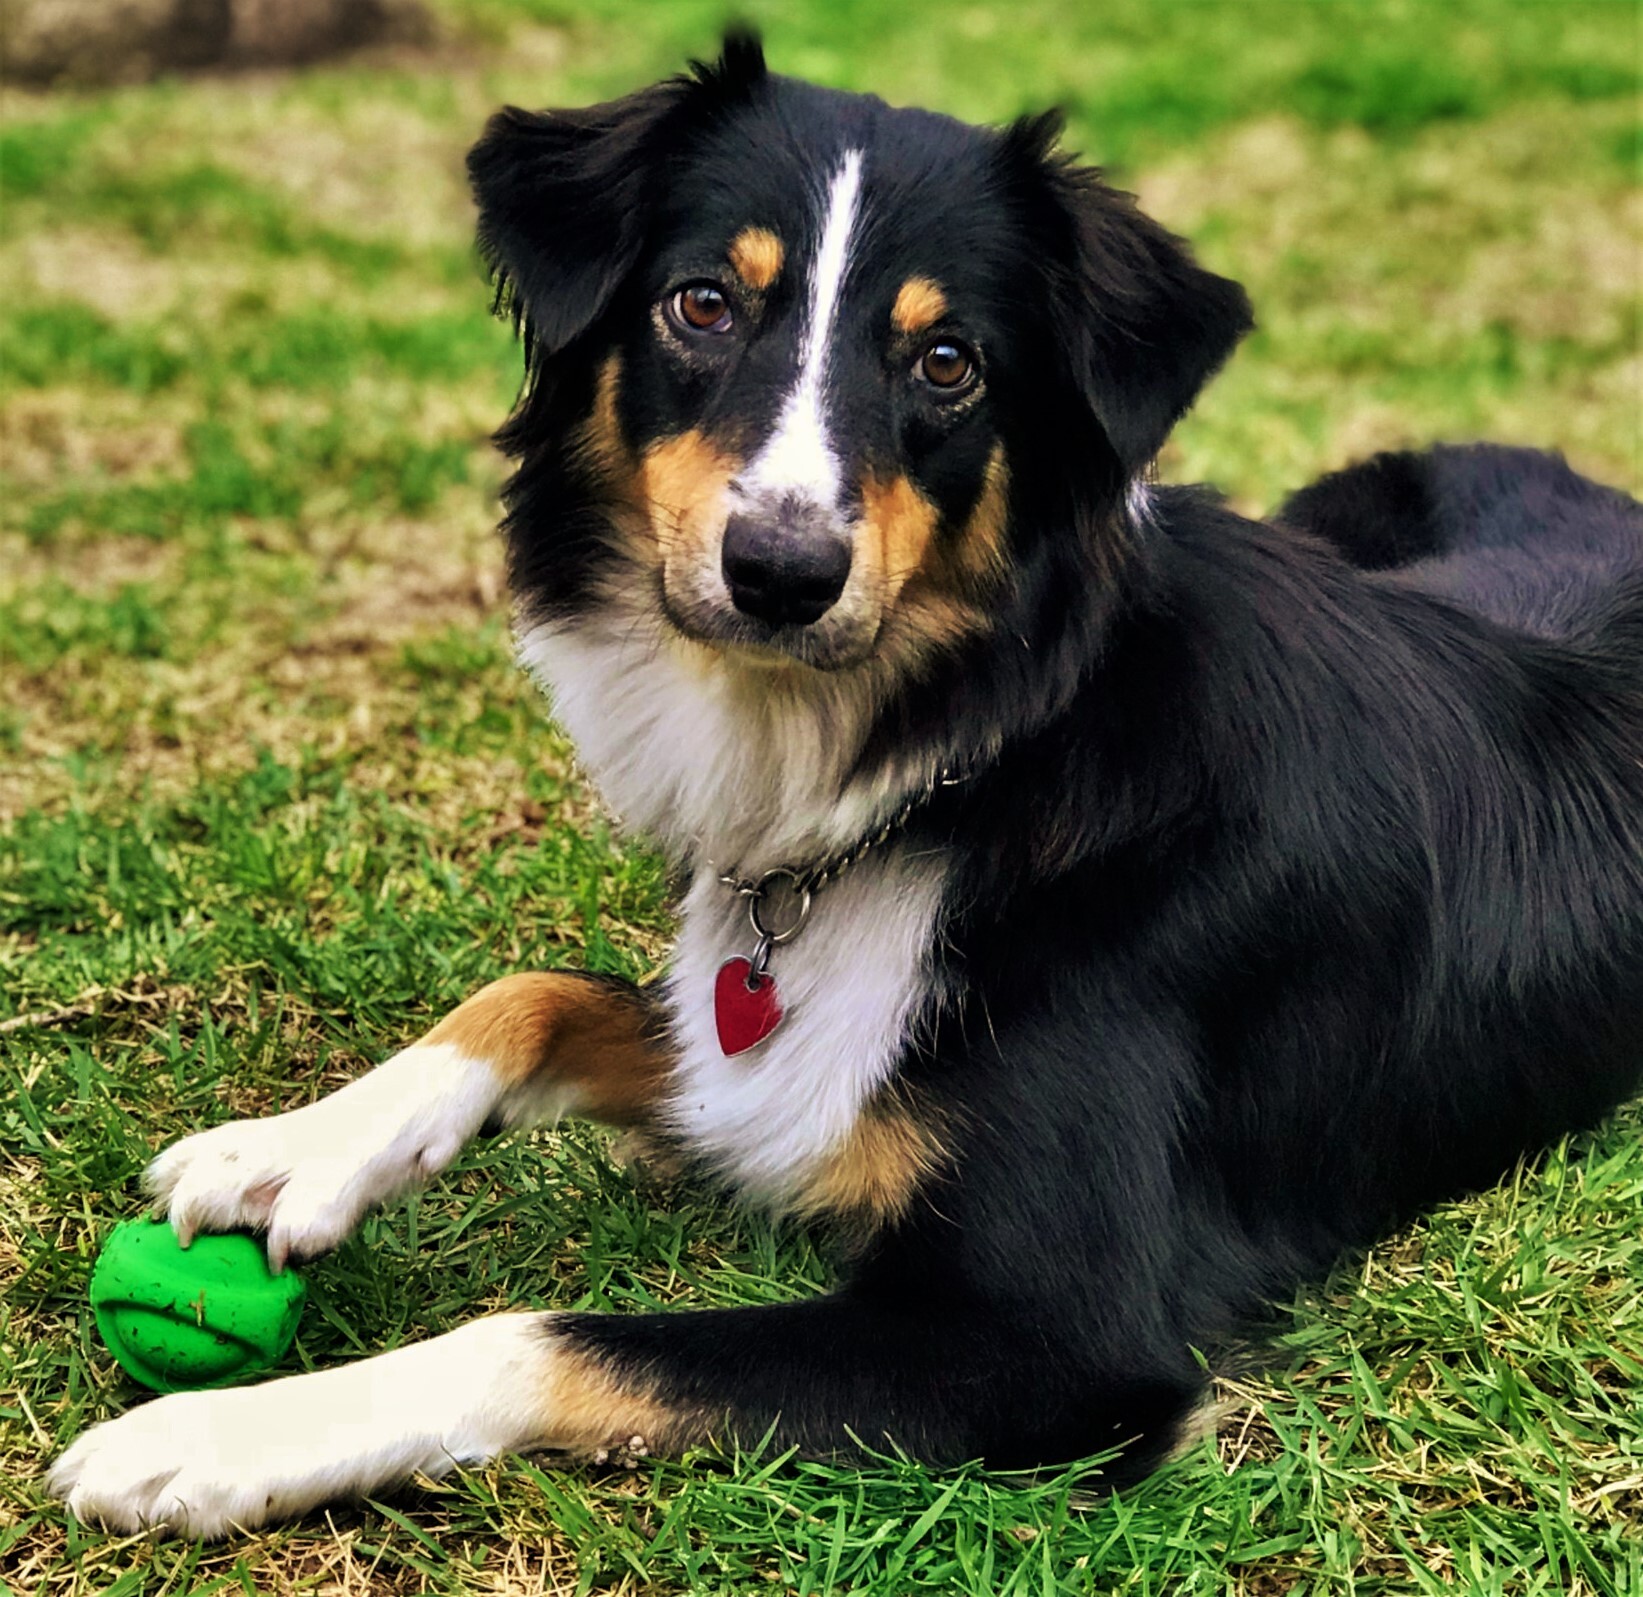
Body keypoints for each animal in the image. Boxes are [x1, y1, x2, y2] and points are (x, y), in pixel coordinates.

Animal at [44, 34, 1636, 1537]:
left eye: (947, 363)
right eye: (701, 305)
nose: (781, 570)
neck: (970, 753)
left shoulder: (1049, 1344)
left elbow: (531, 1333)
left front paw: (220, 1437)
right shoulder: (761, 1053)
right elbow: (538, 990)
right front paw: (288, 1150)